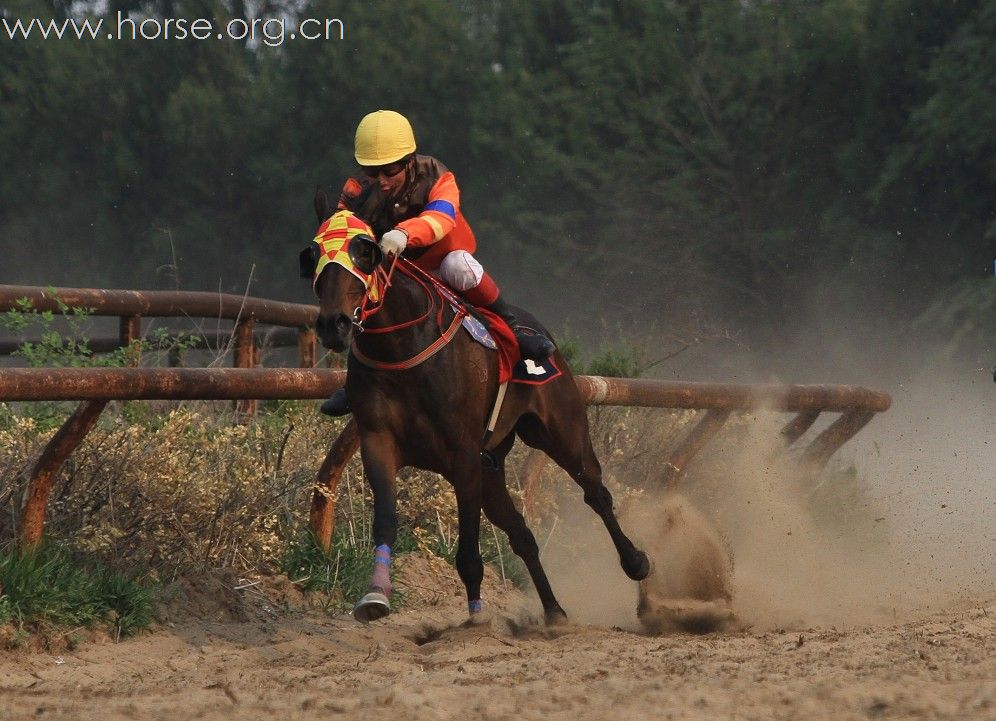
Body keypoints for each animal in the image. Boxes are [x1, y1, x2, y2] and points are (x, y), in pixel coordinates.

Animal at [300, 194, 648, 620]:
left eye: (365, 251)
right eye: (312, 254)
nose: (332, 324)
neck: (404, 348)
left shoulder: (463, 455)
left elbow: (468, 553)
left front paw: (477, 618)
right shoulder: (379, 442)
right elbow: (385, 520)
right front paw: (375, 595)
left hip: (561, 430)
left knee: (595, 491)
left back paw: (636, 562)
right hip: (492, 467)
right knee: (522, 533)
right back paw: (553, 611)